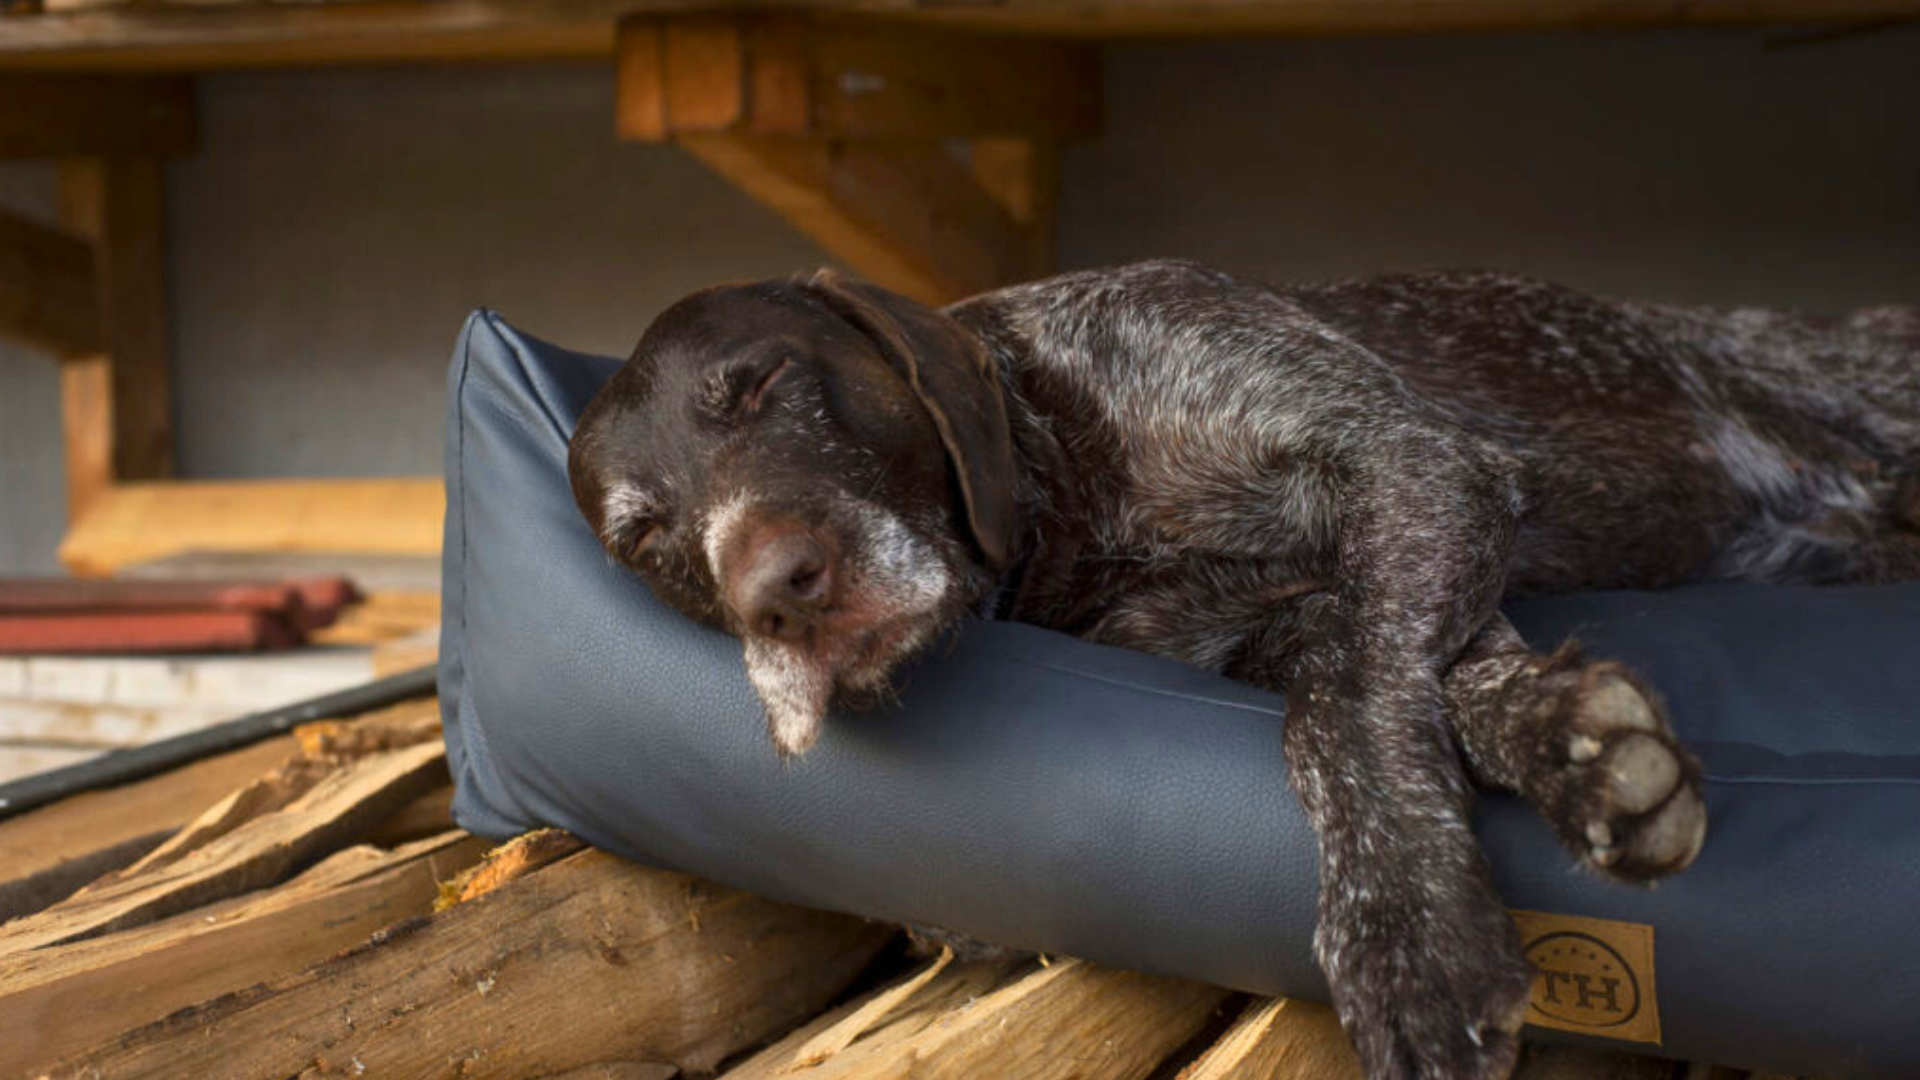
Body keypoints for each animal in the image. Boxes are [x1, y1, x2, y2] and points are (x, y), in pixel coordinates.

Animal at [560, 263, 1912, 1076]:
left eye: (764, 385)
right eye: (644, 535)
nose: (774, 594)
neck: (1074, 482)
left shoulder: (1414, 464)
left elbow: (1359, 695)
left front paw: (1411, 936)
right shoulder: (1273, 623)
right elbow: (1381, 690)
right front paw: (1572, 747)